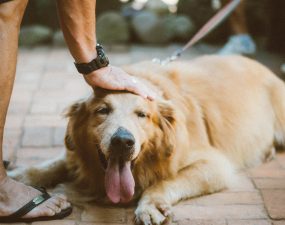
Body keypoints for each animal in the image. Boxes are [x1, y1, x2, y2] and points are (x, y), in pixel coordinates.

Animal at [10, 55, 284, 225]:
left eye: (142, 115)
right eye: (102, 110)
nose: (122, 141)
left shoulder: (214, 164)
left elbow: (165, 181)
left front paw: (151, 204)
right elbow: (56, 163)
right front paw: (21, 176)